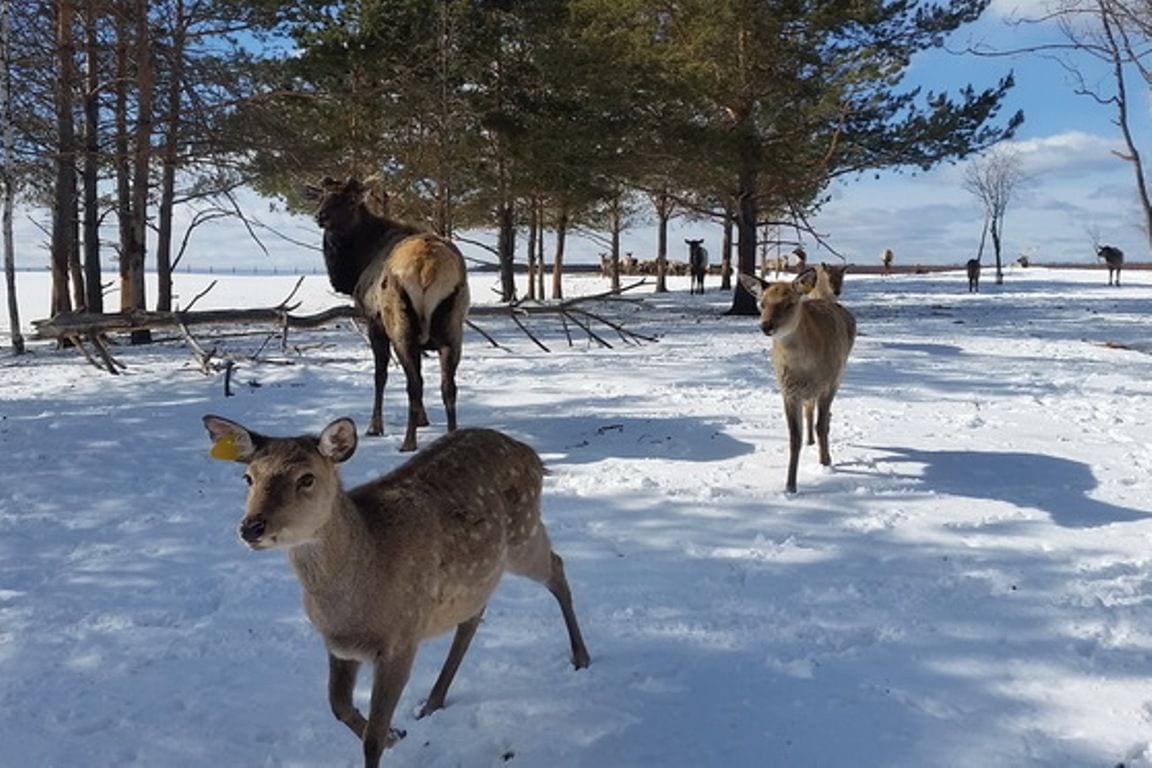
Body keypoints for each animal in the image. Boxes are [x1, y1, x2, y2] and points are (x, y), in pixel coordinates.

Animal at [201, 414, 589, 768]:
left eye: (306, 478)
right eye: (249, 477)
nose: (251, 527)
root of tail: (532, 455)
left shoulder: (401, 637)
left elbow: (370, 739)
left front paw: (386, 736)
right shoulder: (338, 645)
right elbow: (339, 706)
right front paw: (395, 734)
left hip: (524, 535)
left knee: (557, 567)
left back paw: (581, 658)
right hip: (480, 573)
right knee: (474, 614)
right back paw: (433, 701)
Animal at [306, 177, 472, 453]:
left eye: (350, 200)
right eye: (323, 196)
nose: (321, 216)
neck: (360, 260)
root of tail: (428, 268)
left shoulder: (374, 321)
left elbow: (380, 375)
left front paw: (375, 427)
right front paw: (424, 420)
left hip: (401, 324)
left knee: (414, 385)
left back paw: (408, 442)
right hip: (453, 326)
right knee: (448, 386)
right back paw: (451, 434)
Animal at [737, 265, 857, 492]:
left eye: (789, 303)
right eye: (762, 303)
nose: (766, 326)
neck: (805, 369)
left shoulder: (827, 383)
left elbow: (821, 425)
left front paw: (825, 463)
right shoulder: (788, 391)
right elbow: (794, 437)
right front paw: (790, 486)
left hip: (839, 373)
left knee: (823, 416)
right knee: (809, 410)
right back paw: (810, 441)